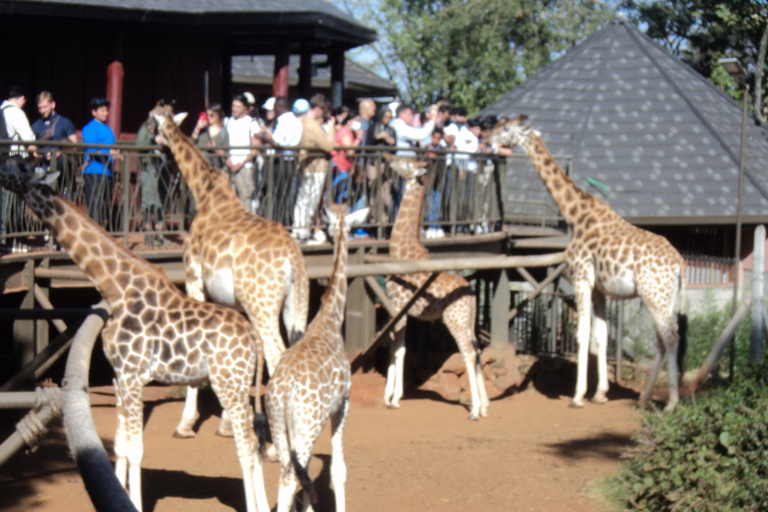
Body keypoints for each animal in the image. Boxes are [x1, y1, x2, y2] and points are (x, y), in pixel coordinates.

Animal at [0, 157, 270, 512]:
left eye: (19, 167)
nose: (1, 172)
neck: (114, 286)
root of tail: (254, 339)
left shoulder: (132, 376)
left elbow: (136, 450)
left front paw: (136, 503)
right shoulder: (120, 377)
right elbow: (120, 447)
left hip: (230, 383)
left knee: (247, 445)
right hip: (237, 384)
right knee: (254, 441)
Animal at [152, 111, 310, 436]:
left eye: (152, 122)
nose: (156, 147)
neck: (204, 191)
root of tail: (293, 258)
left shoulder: (193, 279)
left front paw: (185, 424)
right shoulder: (233, 302)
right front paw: (228, 422)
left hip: (262, 303)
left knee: (276, 354)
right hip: (292, 304)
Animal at [266, 204, 370, 512]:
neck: (330, 319)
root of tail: (285, 390)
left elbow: (310, 471)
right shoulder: (343, 405)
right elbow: (338, 470)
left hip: (280, 424)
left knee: (288, 472)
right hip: (309, 424)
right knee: (290, 479)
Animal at [388, 159, 488, 420]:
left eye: (406, 162)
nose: (391, 159)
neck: (401, 252)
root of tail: (472, 293)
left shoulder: (398, 307)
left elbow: (398, 350)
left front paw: (394, 398)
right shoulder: (398, 311)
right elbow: (393, 347)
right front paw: (388, 395)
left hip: (454, 320)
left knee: (468, 353)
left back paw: (474, 410)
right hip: (468, 321)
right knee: (477, 350)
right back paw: (485, 406)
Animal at [486, 118, 684, 410]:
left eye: (506, 128)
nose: (487, 137)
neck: (576, 214)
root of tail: (680, 264)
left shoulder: (581, 278)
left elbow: (582, 335)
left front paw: (578, 396)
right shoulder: (600, 289)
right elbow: (600, 337)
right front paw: (600, 393)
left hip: (653, 294)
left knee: (671, 337)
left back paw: (671, 403)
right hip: (665, 297)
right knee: (663, 339)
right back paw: (645, 397)